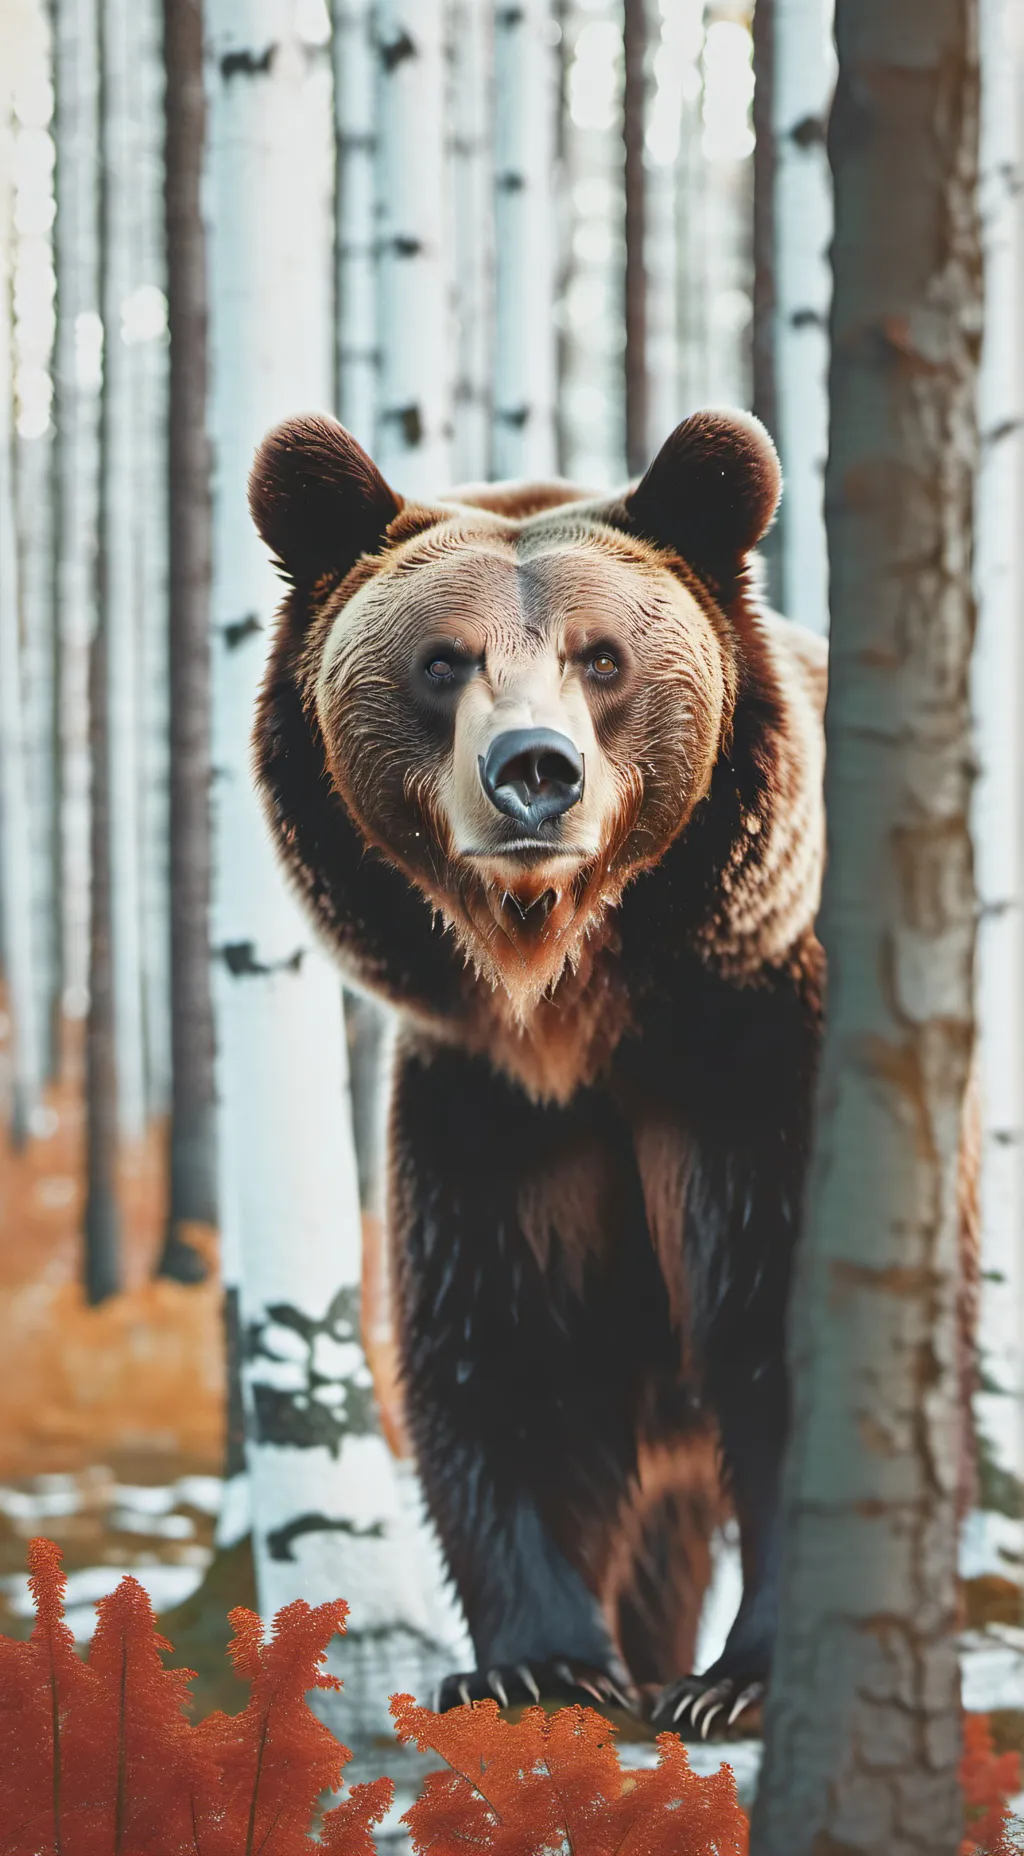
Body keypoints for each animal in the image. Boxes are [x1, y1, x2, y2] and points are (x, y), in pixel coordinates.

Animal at [246, 408, 972, 1740]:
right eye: (442, 660)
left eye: (601, 656)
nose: (534, 769)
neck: (583, 1008)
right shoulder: (497, 1115)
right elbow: (511, 1351)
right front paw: (537, 1664)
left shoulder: (759, 1056)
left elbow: (789, 1329)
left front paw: (743, 1677)